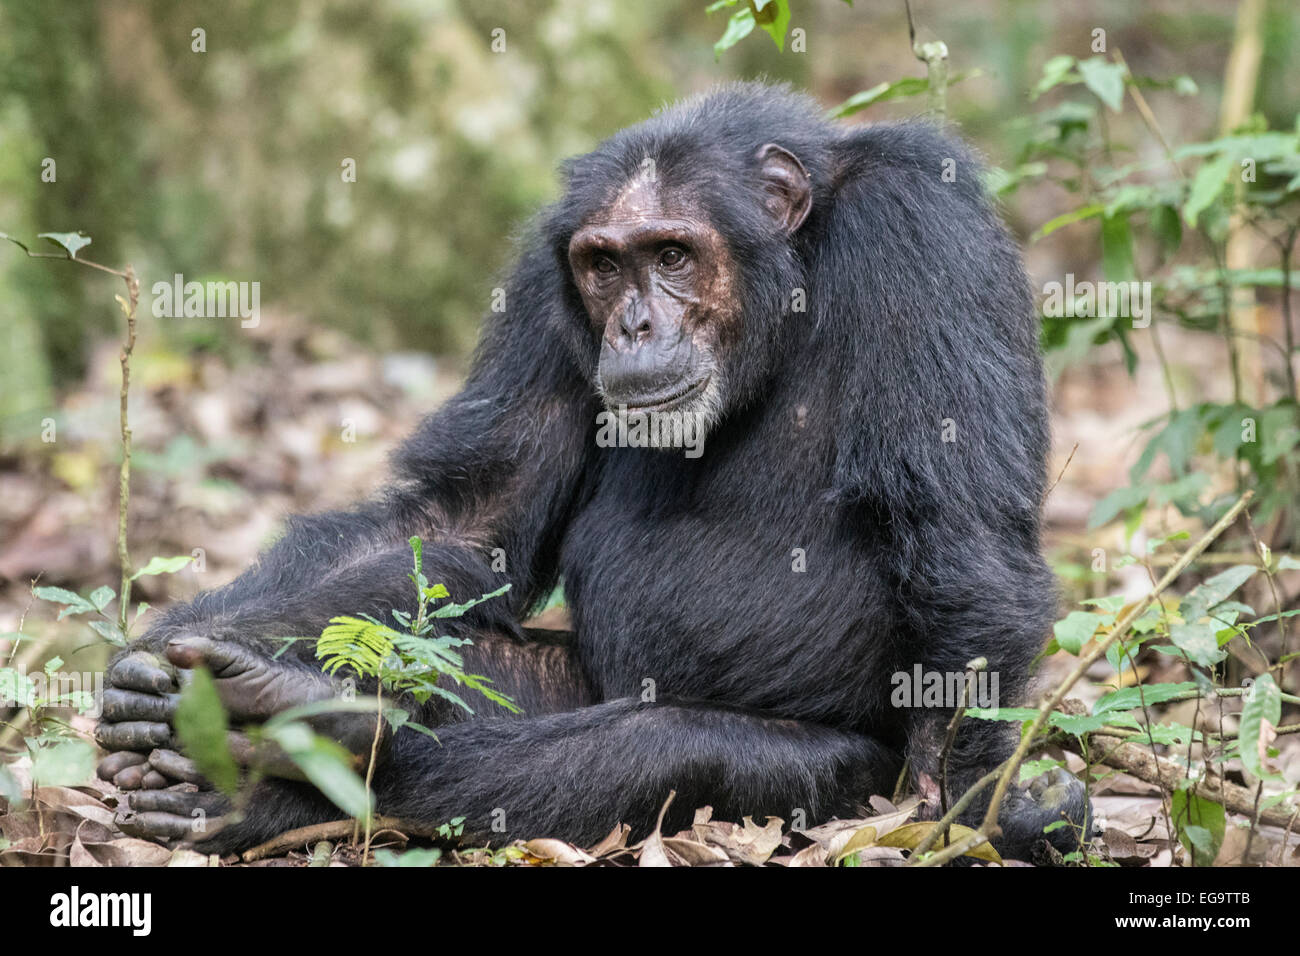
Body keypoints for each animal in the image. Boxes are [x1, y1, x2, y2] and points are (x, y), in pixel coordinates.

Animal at [96, 80, 1086, 858]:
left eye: (674, 254)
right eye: (604, 265)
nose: (635, 324)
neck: (794, 277)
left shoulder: (926, 229)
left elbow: (961, 541)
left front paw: (965, 815)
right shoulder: (544, 285)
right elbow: (469, 513)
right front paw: (154, 659)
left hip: (841, 777)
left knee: (656, 752)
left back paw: (298, 755)